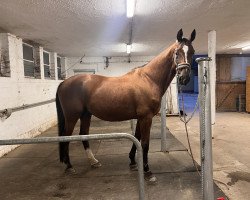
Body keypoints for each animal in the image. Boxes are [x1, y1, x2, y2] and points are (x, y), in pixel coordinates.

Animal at [55, 28, 196, 183]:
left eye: (192, 52)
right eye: (177, 53)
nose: (184, 78)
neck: (149, 79)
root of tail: (64, 82)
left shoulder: (141, 117)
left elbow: (137, 137)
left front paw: (133, 162)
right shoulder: (146, 117)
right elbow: (144, 143)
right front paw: (147, 171)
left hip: (86, 114)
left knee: (83, 134)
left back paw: (93, 161)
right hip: (72, 116)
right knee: (66, 136)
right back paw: (69, 166)